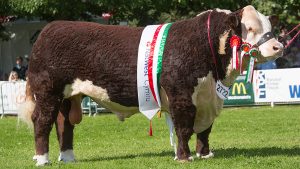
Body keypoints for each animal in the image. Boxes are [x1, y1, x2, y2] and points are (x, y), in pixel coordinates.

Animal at [19, 5, 282, 166]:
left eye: (270, 28)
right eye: (250, 28)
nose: (277, 47)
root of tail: (50, 28)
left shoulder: (209, 98)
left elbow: (205, 130)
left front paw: (205, 154)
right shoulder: (181, 96)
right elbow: (184, 128)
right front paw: (184, 157)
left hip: (69, 96)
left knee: (64, 124)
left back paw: (68, 157)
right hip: (47, 90)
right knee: (42, 121)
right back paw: (42, 159)